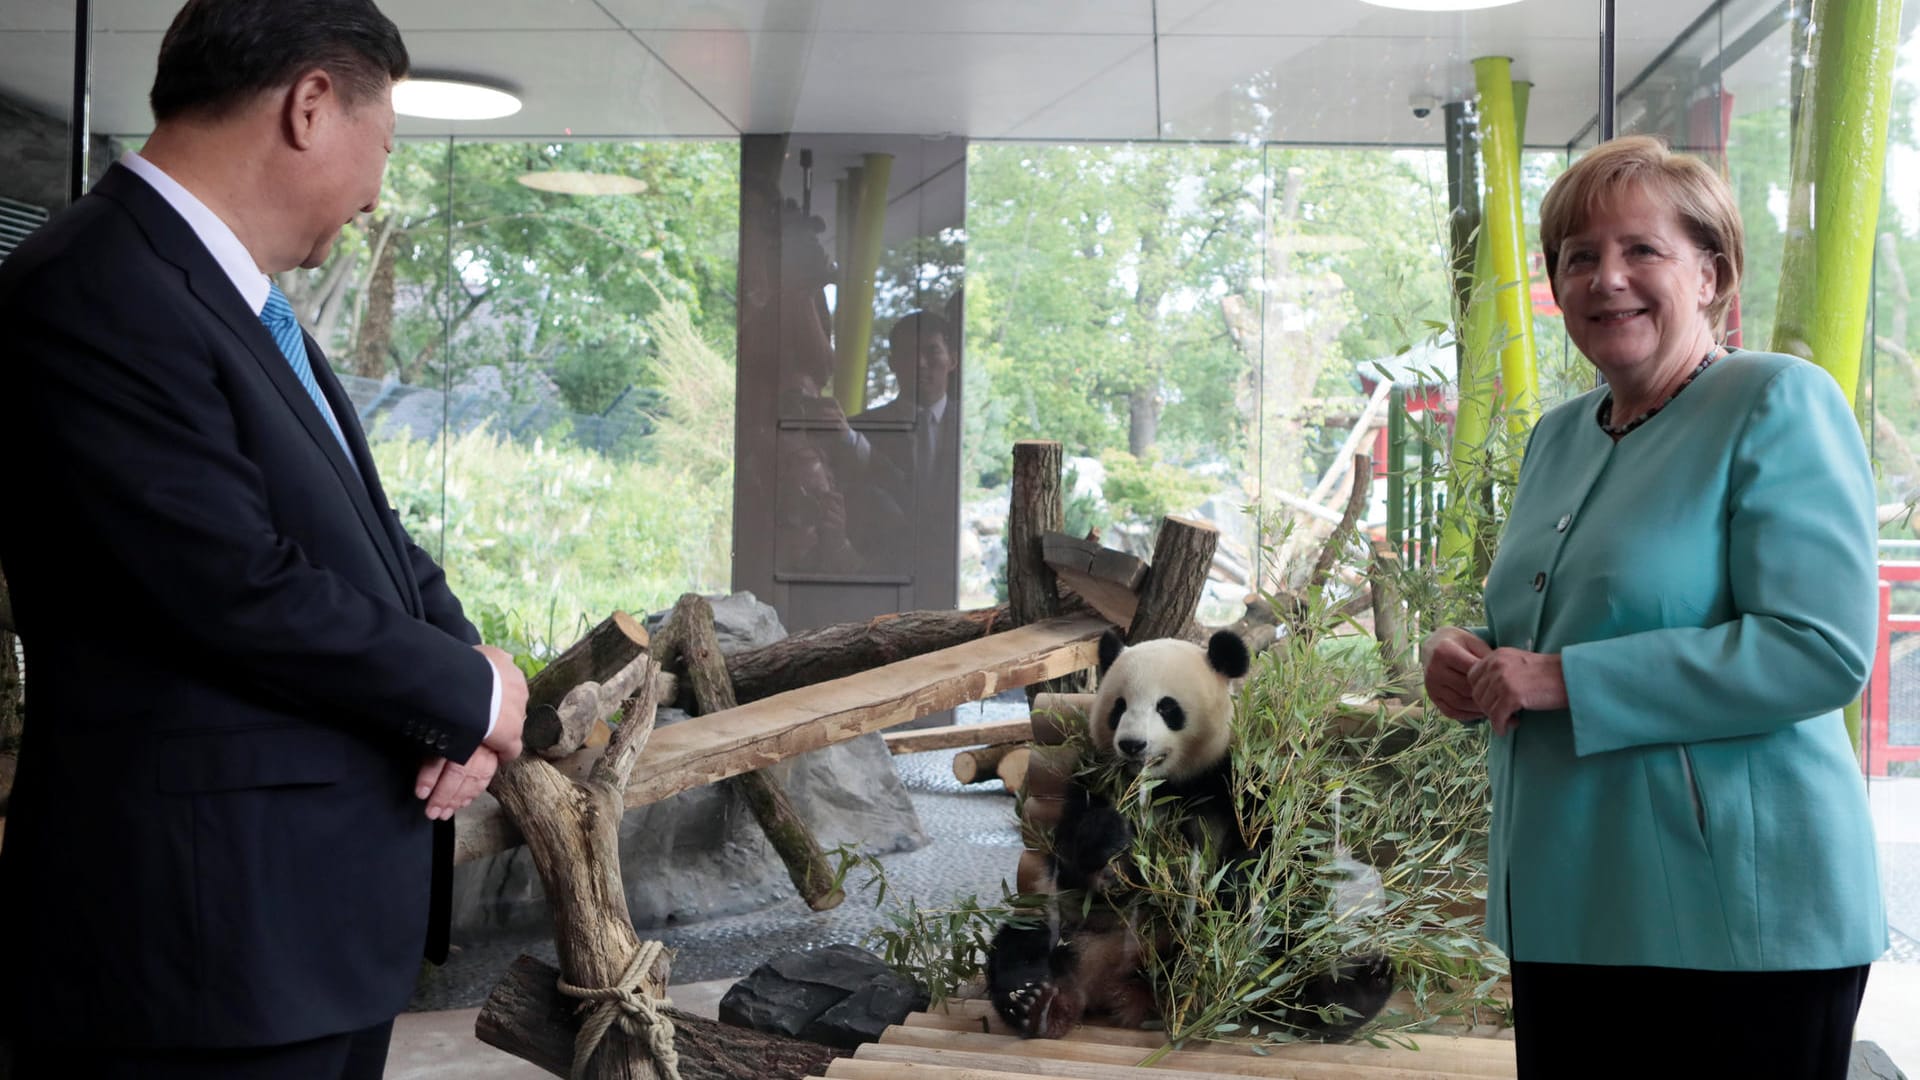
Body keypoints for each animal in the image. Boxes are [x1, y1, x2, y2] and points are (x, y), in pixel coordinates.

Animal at [990, 626, 1397, 1037]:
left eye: (1167, 707)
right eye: (1119, 707)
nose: (1132, 745)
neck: (1164, 785)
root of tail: (1119, 985)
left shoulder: (1238, 782)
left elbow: (1271, 858)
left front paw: (1232, 884)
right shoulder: (1093, 780)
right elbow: (1071, 859)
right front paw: (1110, 842)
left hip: (1263, 955)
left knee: (1292, 964)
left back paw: (1358, 989)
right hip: (1076, 926)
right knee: (1022, 944)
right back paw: (1038, 1005)